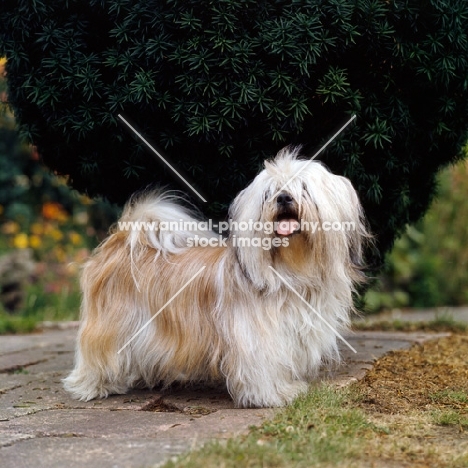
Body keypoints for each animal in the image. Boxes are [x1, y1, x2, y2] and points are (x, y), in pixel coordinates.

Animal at [64, 148, 372, 408]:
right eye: (268, 194)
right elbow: (262, 367)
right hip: (111, 325)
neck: (291, 272)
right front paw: (273, 395)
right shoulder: (255, 337)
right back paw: (93, 386)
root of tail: (123, 239)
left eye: (304, 188)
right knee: (96, 352)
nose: (284, 197)